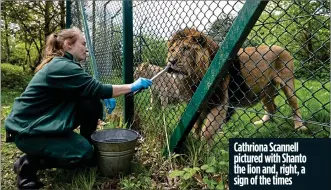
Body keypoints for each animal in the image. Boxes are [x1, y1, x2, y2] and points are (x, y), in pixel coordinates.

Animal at [167, 27, 308, 140]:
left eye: (185, 48)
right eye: (172, 50)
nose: (171, 61)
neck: (195, 78)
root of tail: (281, 47)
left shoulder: (220, 103)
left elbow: (206, 131)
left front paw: (202, 151)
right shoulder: (198, 105)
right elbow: (196, 125)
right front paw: (194, 141)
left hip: (287, 82)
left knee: (295, 105)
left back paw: (299, 126)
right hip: (265, 91)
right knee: (272, 107)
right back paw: (262, 122)